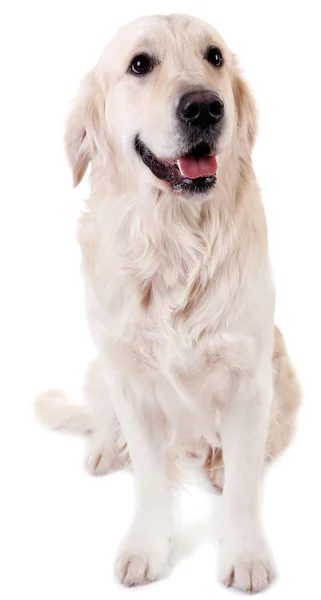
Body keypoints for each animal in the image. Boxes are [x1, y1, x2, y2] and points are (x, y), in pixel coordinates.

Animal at [36, 14, 302, 596]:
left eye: (214, 56)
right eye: (140, 64)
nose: (204, 107)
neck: (175, 241)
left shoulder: (250, 381)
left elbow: (245, 486)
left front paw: (245, 553)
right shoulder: (131, 382)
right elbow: (151, 480)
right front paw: (147, 549)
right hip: (101, 369)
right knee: (105, 420)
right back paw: (105, 449)